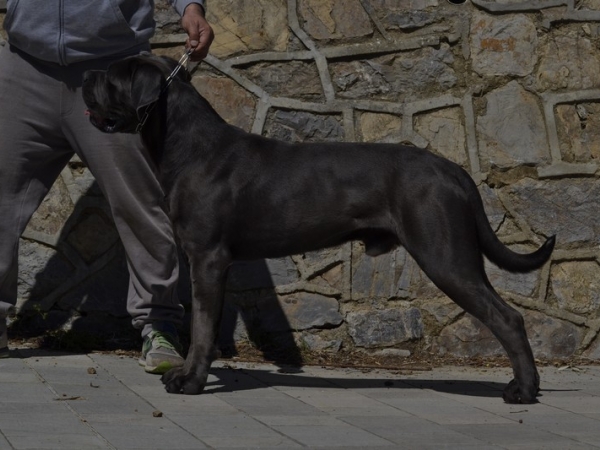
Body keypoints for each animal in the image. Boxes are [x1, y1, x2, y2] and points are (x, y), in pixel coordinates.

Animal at [82, 54, 556, 402]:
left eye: (112, 76)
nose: (85, 73)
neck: (185, 144)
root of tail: (454, 170)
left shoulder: (208, 258)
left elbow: (201, 326)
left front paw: (189, 380)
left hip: (445, 256)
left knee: (508, 318)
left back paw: (523, 389)